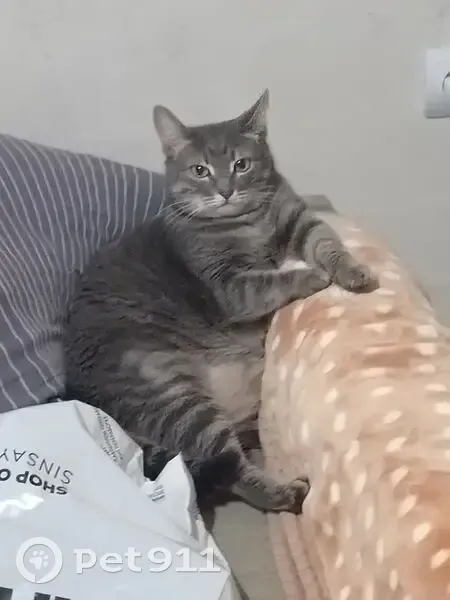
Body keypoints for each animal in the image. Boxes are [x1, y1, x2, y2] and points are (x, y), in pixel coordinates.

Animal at [63, 89, 378, 514]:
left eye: (240, 164)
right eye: (200, 170)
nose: (225, 190)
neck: (247, 223)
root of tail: (80, 395)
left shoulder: (299, 221)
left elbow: (327, 244)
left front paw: (352, 271)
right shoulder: (228, 285)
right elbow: (272, 280)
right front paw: (313, 276)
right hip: (176, 396)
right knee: (231, 469)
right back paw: (285, 493)